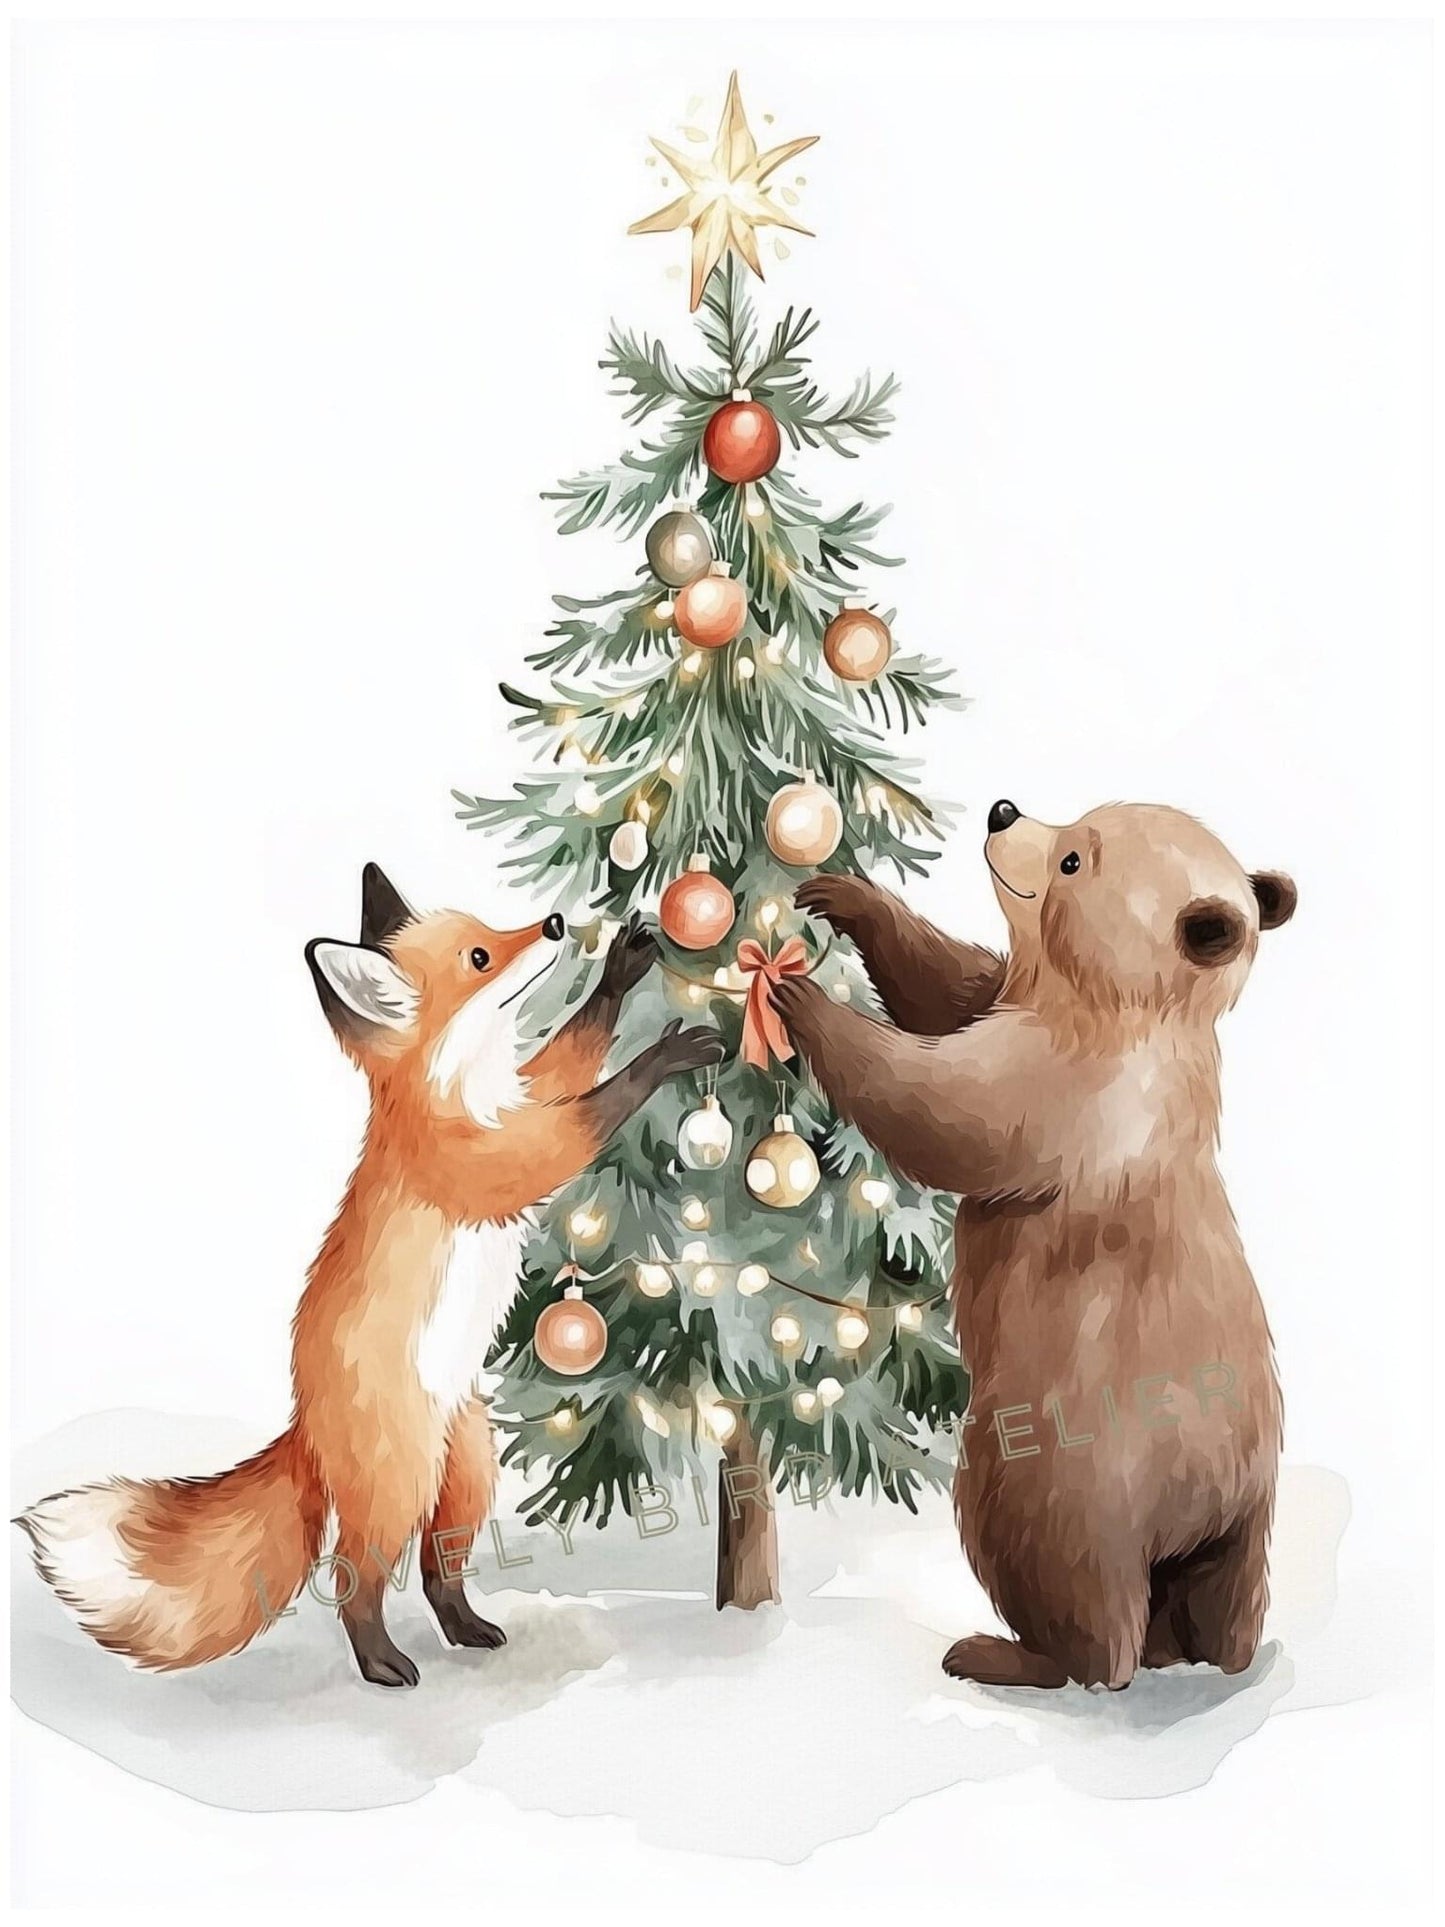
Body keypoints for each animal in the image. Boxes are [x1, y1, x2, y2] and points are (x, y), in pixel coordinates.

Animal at [18, 865, 722, 1688]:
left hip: (464, 1470)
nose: (553, 925)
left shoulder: (524, 1091)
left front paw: (622, 967)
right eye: (480, 957)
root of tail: (304, 1420)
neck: (463, 1087)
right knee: (355, 1580)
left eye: (491, 931)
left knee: (439, 1570)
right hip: (398, 1486)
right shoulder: (498, 1157)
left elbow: (570, 1053)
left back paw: (466, 1629)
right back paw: (382, 1663)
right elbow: (589, 1111)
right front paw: (666, 1056)